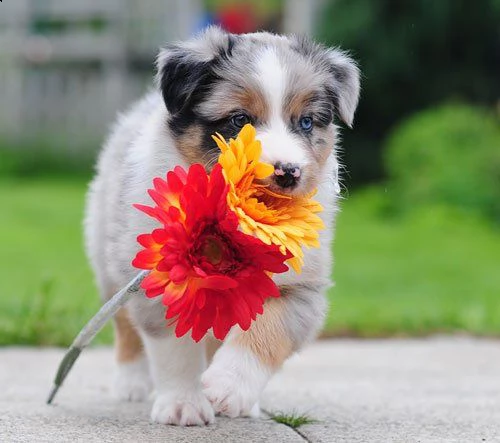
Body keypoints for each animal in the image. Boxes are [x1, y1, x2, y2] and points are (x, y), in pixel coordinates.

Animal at [85, 25, 360, 426]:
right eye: (239, 120)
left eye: (306, 122)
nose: (288, 172)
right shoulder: (161, 278)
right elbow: (176, 350)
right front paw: (183, 404)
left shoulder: (301, 286)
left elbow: (268, 330)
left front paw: (228, 388)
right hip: (110, 256)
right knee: (122, 322)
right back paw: (131, 382)